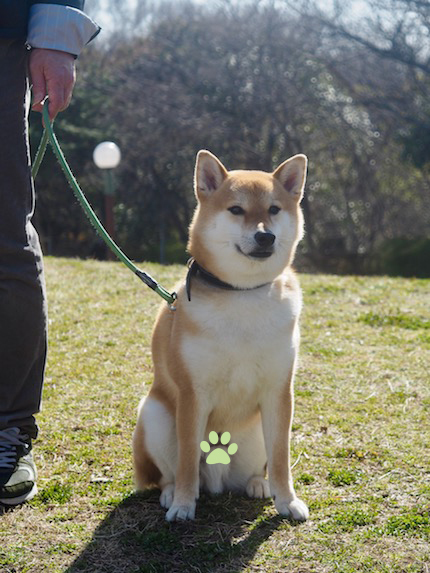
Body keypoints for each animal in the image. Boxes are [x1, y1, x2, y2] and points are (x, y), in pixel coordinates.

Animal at [134, 150, 310, 520]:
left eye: (274, 209)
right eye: (236, 210)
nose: (265, 237)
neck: (242, 294)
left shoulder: (279, 392)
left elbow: (282, 458)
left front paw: (287, 500)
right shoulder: (193, 394)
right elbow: (187, 460)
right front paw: (184, 505)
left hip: (256, 433)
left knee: (260, 466)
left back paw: (259, 485)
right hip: (154, 414)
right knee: (170, 473)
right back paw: (172, 493)